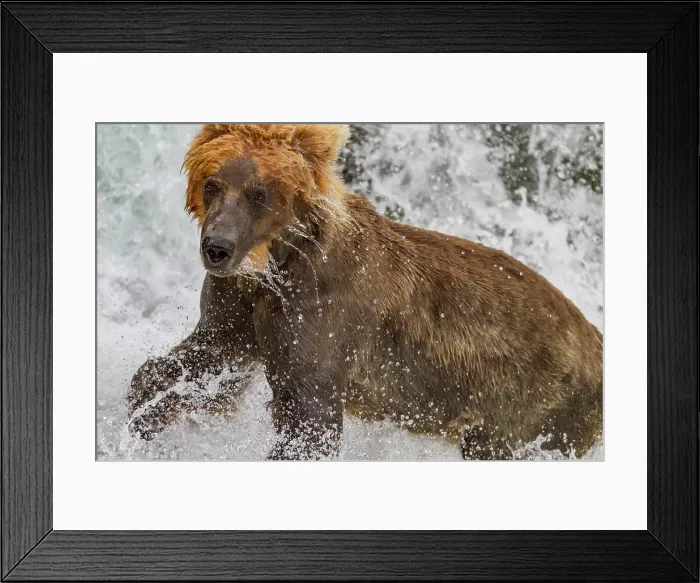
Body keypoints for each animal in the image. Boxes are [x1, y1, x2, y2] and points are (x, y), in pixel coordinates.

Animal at [128, 123, 603, 460]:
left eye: (258, 193)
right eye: (212, 184)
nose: (217, 248)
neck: (277, 264)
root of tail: (594, 337)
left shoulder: (322, 310)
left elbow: (308, 418)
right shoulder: (241, 308)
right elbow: (202, 360)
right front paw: (141, 416)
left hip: (529, 407)